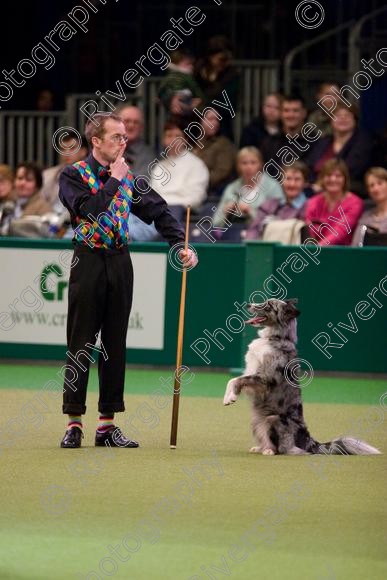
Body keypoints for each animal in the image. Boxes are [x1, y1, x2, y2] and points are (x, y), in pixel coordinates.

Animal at [224, 300, 382, 458]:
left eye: (268, 305)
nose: (248, 304)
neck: (276, 337)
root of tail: (307, 440)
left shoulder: (266, 379)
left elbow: (237, 380)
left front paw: (230, 398)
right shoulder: (253, 374)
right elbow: (233, 380)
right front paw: (227, 396)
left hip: (273, 418)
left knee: (283, 449)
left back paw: (269, 451)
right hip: (256, 420)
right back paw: (260, 448)